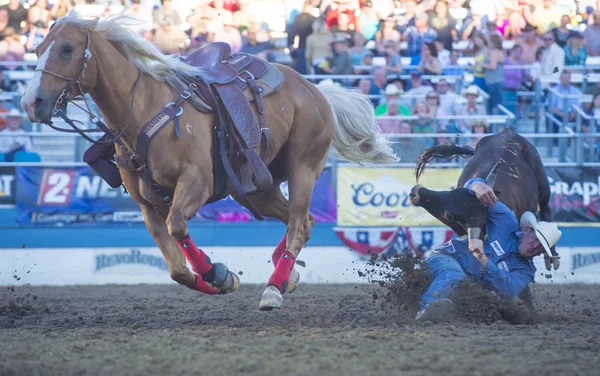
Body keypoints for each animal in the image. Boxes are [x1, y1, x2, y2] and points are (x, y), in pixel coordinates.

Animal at [19, 13, 398, 310]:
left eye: (68, 49)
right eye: (36, 50)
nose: (31, 103)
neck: (144, 108)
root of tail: (316, 90)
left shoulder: (196, 183)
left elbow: (178, 226)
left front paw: (217, 272)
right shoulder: (147, 206)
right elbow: (176, 269)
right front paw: (220, 280)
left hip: (302, 169)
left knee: (298, 225)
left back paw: (274, 288)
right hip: (260, 187)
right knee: (304, 222)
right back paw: (286, 275)